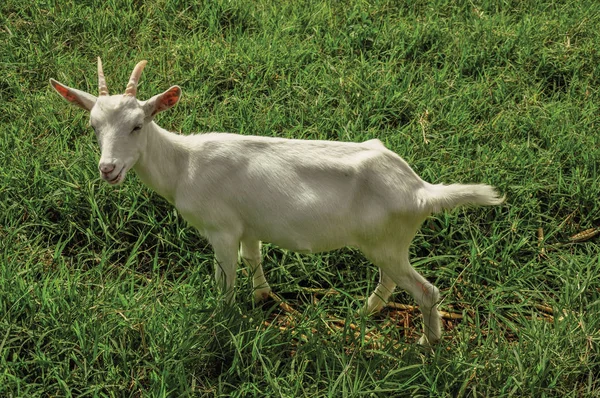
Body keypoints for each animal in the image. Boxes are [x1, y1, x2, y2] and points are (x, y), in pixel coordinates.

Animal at [51, 59, 504, 346]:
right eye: (93, 125)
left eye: (138, 124)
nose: (108, 169)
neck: (184, 164)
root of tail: (419, 189)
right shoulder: (248, 225)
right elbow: (254, 258)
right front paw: (263, 298)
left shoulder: (221, 229)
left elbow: (225, 278)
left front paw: (223, 317)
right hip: (386, 243)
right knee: (391, 281)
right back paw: (364, 313)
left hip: (387, 242)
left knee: (426, 291)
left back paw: (427, 346)